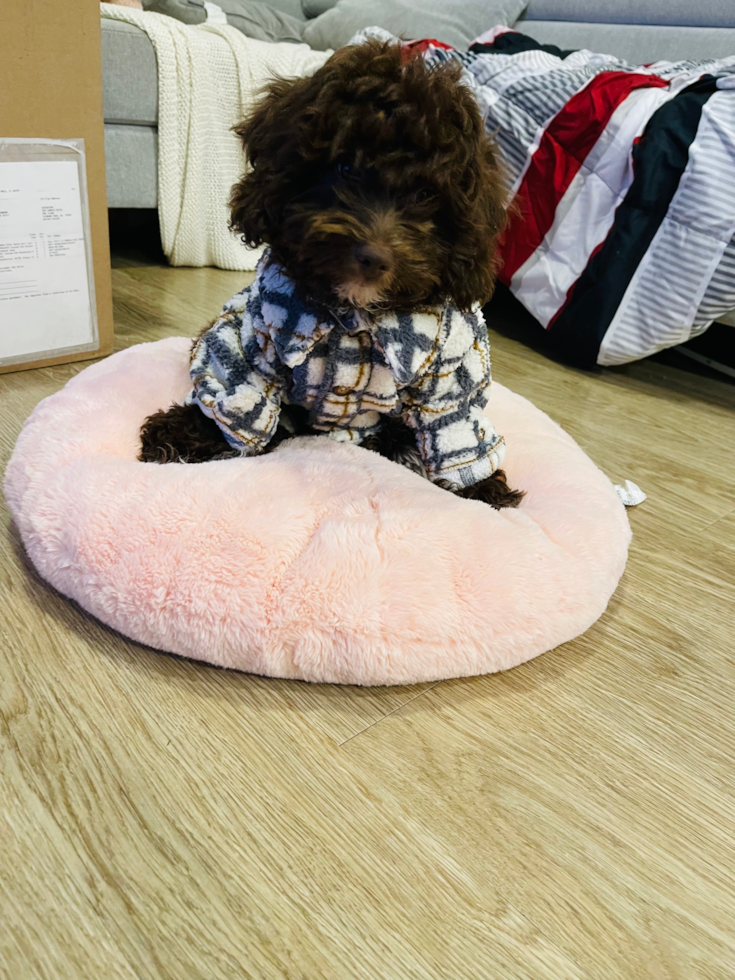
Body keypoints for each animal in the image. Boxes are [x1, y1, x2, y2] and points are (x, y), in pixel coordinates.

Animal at [142, 42, 524, 510]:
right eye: (345, 168)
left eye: (425, 194)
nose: (374, 258)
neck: (356, 316)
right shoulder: (255, 342)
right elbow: (240, 392)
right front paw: (182, 433)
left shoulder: (450, 373)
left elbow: (452, 420)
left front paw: (482, 491)